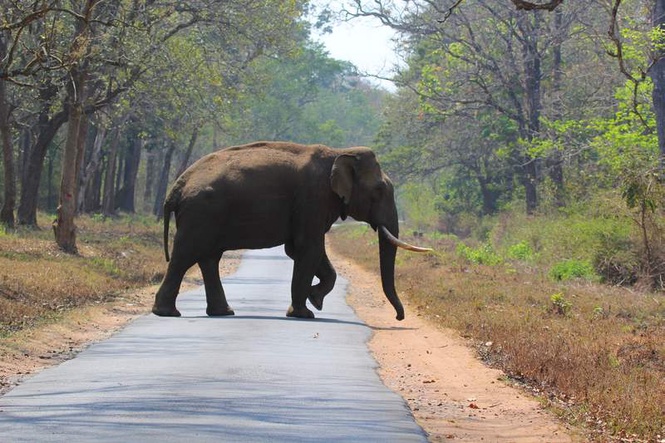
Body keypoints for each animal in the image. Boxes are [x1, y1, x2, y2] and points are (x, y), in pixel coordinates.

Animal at [152, 141, 431, 321]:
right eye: (379, 191)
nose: (399, 317)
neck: (340, 152)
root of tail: (176, 187)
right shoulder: (313, 197)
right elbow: (309, 247)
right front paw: (306, 312)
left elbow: (300, 249)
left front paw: (314, 299)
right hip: (201, 213)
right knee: (185, 256)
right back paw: (167, 313)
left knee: (209, 258)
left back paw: (222, 312)